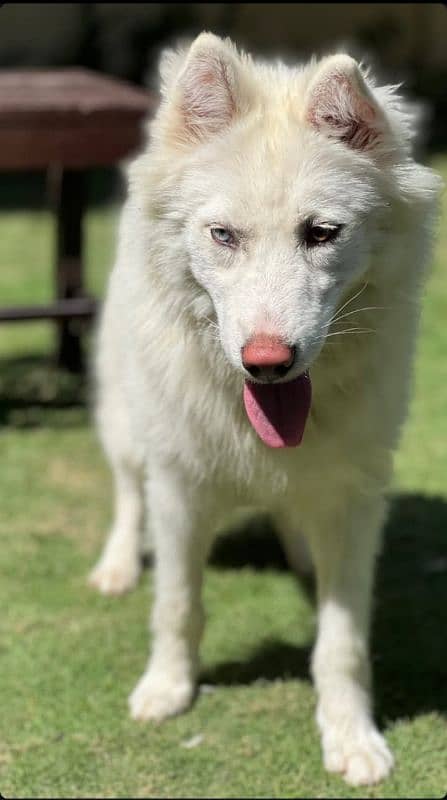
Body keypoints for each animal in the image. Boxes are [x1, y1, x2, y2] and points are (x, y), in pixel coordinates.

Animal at [89, 32, 442, 788]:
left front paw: (351, 738)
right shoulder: (178, 490)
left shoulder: (353, 500)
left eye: (322, 233)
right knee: (127, 492)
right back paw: (117, 566)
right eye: (223, 235)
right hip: (127, 423)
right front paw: (168, 689)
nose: (267, 362)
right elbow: (178, 603)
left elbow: (342, 641)